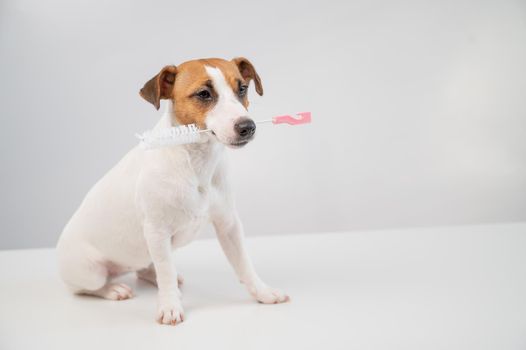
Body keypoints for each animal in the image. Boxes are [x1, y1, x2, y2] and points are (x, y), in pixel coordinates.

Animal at [58, 57, 290, 326]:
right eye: (203, 93)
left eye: (242, 89)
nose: (247, 127)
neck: (196, 161)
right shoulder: (157, 232)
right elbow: (166, 273)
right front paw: (170, 306)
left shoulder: (229, 225)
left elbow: (244, 264)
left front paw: (263, 292)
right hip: (90, 270)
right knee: (84, 288)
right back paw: (113, 289)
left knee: (145, 268)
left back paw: (148, 274)